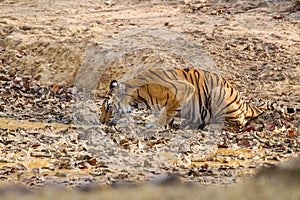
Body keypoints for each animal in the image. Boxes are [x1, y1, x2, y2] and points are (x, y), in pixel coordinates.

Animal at [99, 67, 296, 130]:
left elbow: (167, 111)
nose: (101, 122)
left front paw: (157, 125)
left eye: (108, 107)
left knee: (237, 123)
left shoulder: (184, 88)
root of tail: (245, 103)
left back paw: (210, 126)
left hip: (218, 94)